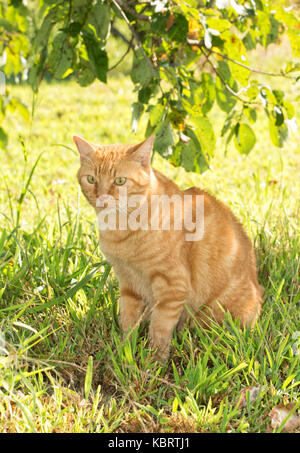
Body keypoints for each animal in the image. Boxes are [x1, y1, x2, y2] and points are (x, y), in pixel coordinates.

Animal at [74, 134, 262, 360]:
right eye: (91, 179)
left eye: (119, 181)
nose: (101, 198)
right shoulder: (128, 283)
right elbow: (127, 319)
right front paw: (123, 350)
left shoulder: (172, 286)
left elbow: (160, 327)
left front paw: (154, 360)